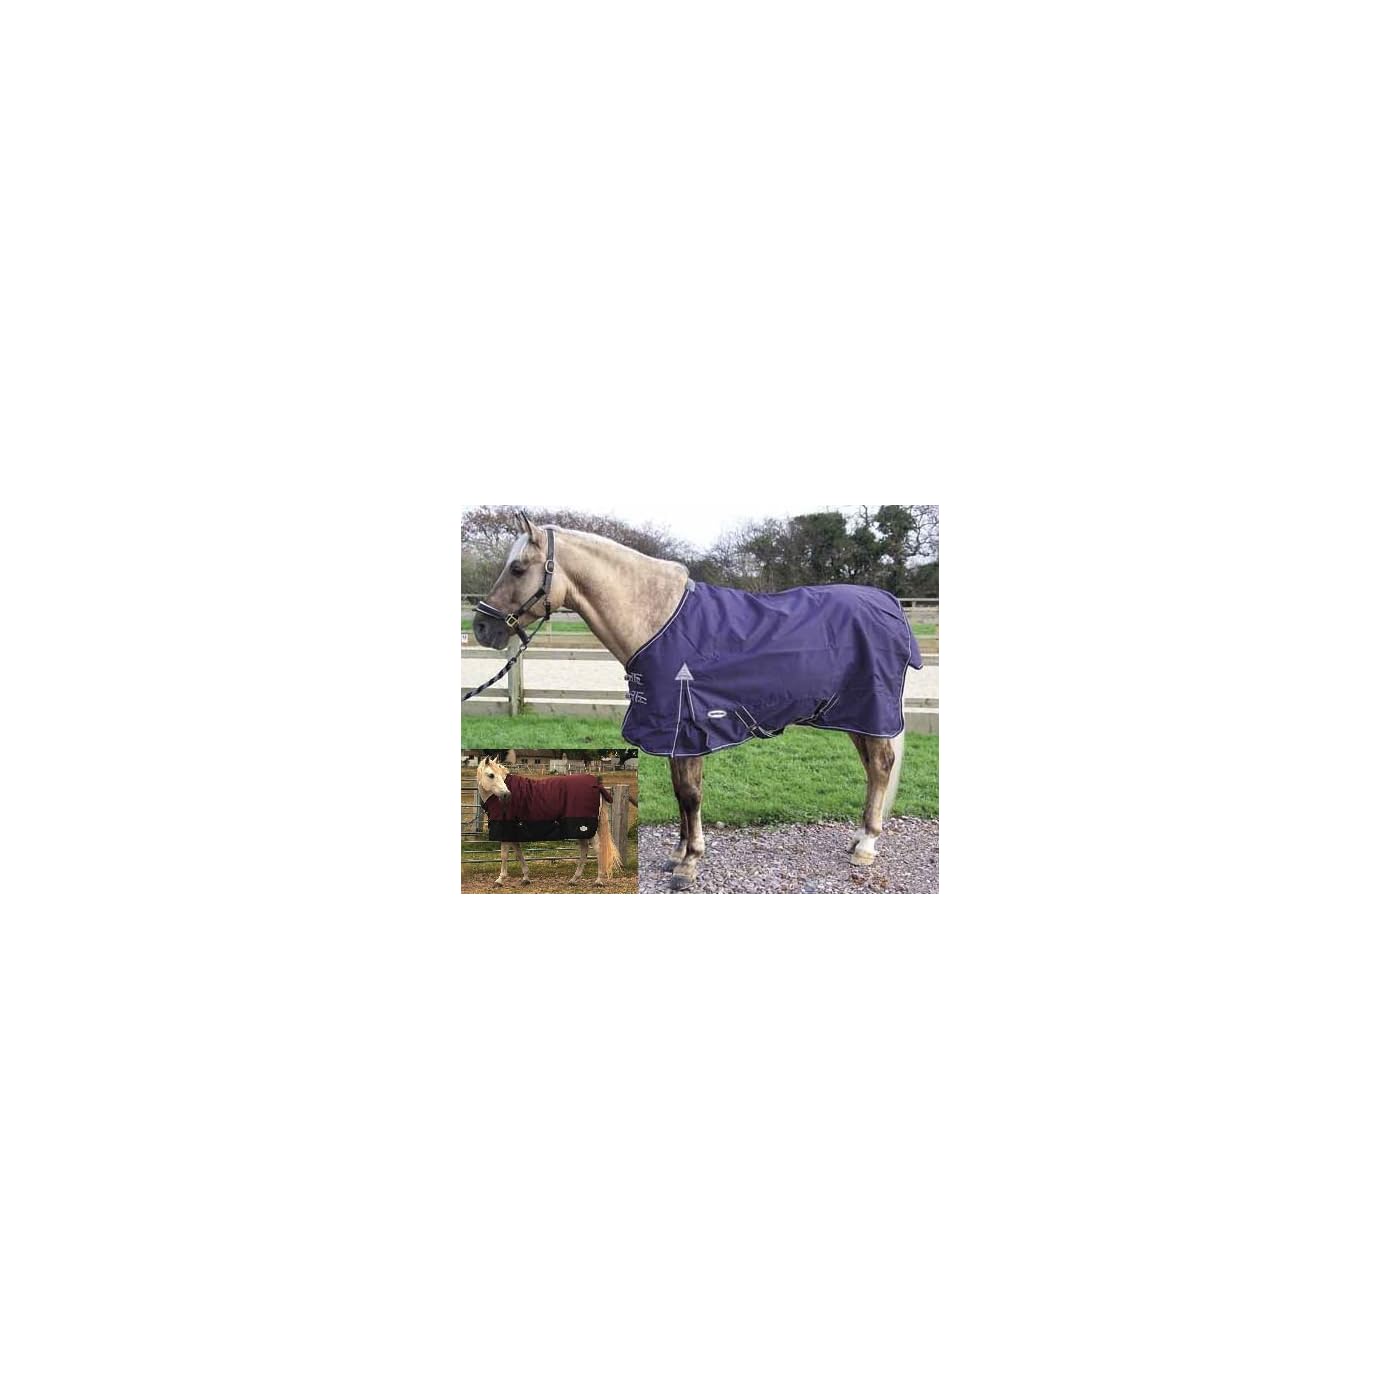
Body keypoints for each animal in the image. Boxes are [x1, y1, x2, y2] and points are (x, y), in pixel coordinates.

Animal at [473, 757, 624, 886]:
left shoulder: (505, 829)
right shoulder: (514, 830)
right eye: (491, 775)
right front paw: (526, 878)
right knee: (584, 849)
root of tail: (596, 784)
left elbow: (504, 855)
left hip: (584, 827)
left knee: (598, 849)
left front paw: (500, 879)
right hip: (580, 830)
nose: (507, 795)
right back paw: (574, 879)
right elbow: (518, 853)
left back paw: (598, 880)